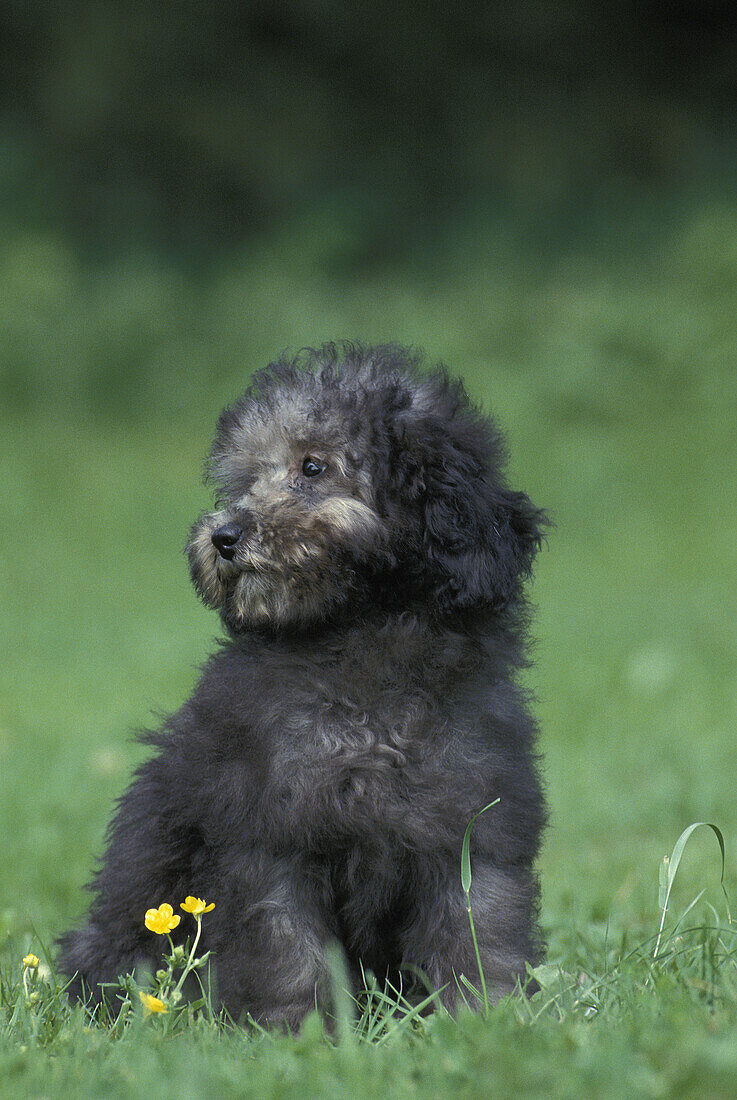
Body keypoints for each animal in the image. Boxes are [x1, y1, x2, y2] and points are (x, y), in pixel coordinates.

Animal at [60, 345, 547, 1029]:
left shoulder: (472, 829)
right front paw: (297, 1033)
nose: (223, 537)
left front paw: (487, 1020)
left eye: (312, 466)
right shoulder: (269, 836)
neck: (362, 642)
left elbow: (480, 936)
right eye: (243, 481)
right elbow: (285, 950)